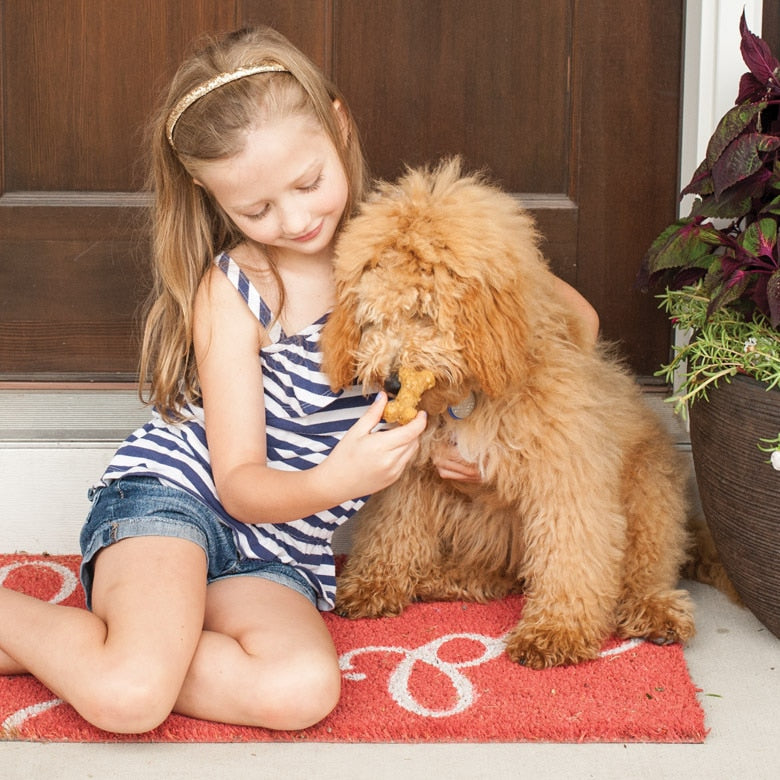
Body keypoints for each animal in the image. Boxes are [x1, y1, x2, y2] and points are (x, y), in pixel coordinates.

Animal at [320, 160, 696, 672]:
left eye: (423, 312)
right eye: (372, 317)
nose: (391, 383)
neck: (468, 398)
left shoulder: (566, 476)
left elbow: (570, 555)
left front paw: (555, 630)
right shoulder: (414, 474)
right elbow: (393, 529)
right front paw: (376, 582)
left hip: (646, 491)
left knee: (645, 565)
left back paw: (653, 611)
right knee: (500, 571)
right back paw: (443, 576)